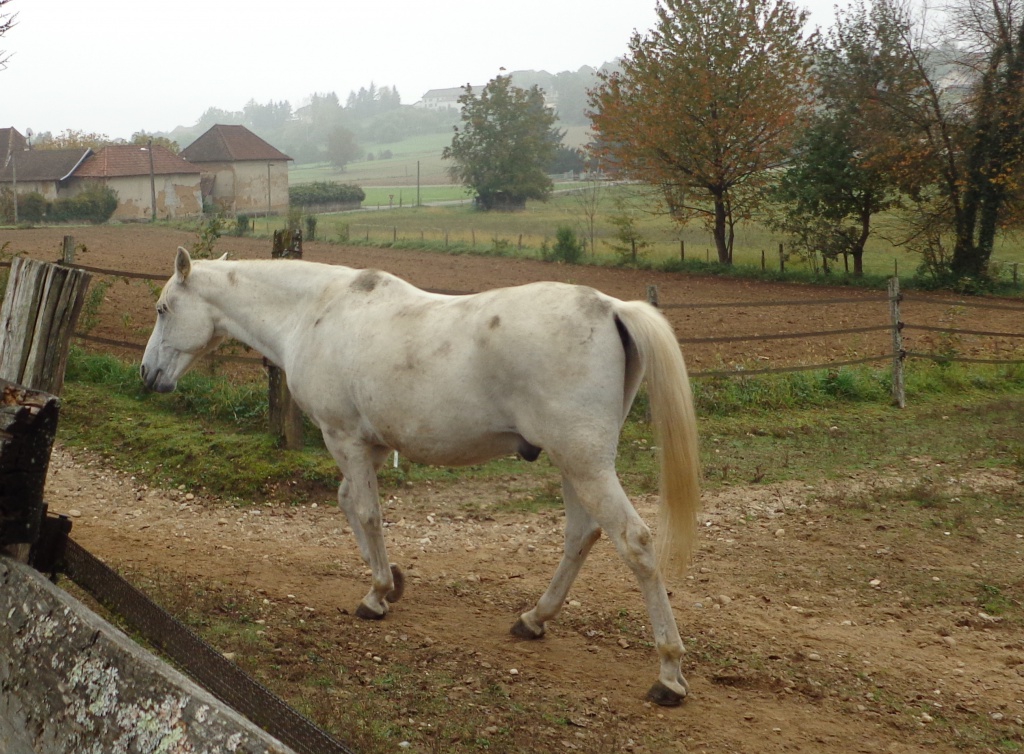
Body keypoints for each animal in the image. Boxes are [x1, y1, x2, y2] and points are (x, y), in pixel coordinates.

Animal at [142, 248, 704, 704]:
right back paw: (534, 620)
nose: (148, 376)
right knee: (580, 535)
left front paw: (375, 596)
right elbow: (349, 504)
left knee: (634, 542)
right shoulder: (368, 447)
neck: (314, 313)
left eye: (163, 309)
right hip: (574, 464)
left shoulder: (344, 439)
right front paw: (392, 582)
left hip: (584, 464)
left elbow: (366, 512)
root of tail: (611, 308)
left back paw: (668, 674)